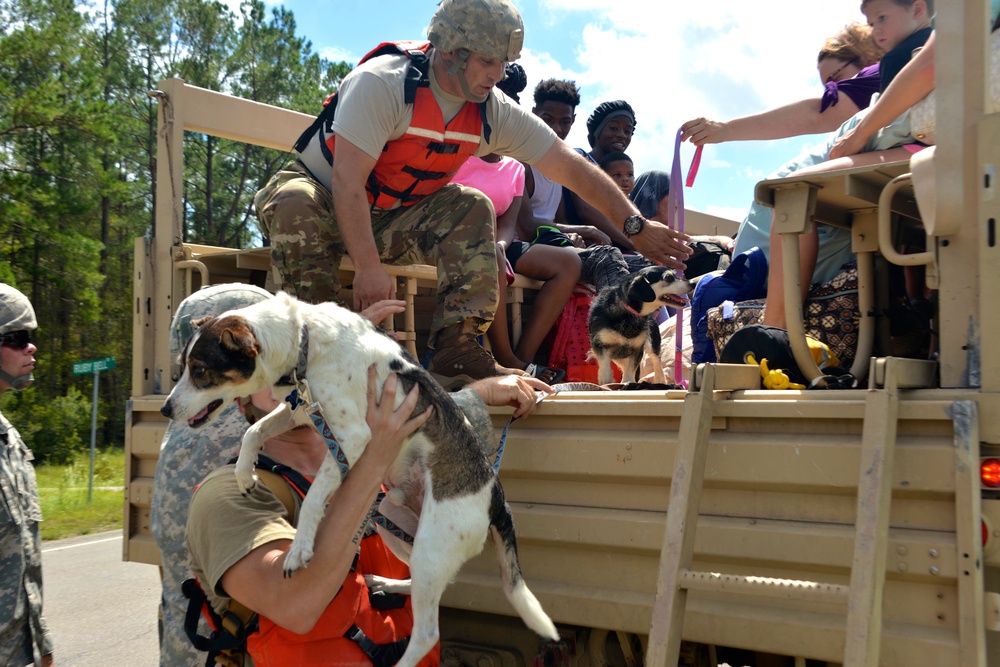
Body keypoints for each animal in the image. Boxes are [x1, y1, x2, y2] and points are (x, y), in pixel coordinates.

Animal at [160, 294, 560, 667]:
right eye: (182, 367)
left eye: (199, 370)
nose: (164, 409)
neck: (305, 340)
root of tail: (496, 496)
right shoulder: (300, 410)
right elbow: (253, 431)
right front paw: (243, 473)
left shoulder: (351, 440)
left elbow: (314, 496)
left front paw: (299, 547)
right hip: (396, 521)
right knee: (427, 584)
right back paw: (387, 583)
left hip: (433, 543)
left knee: (427, 632)